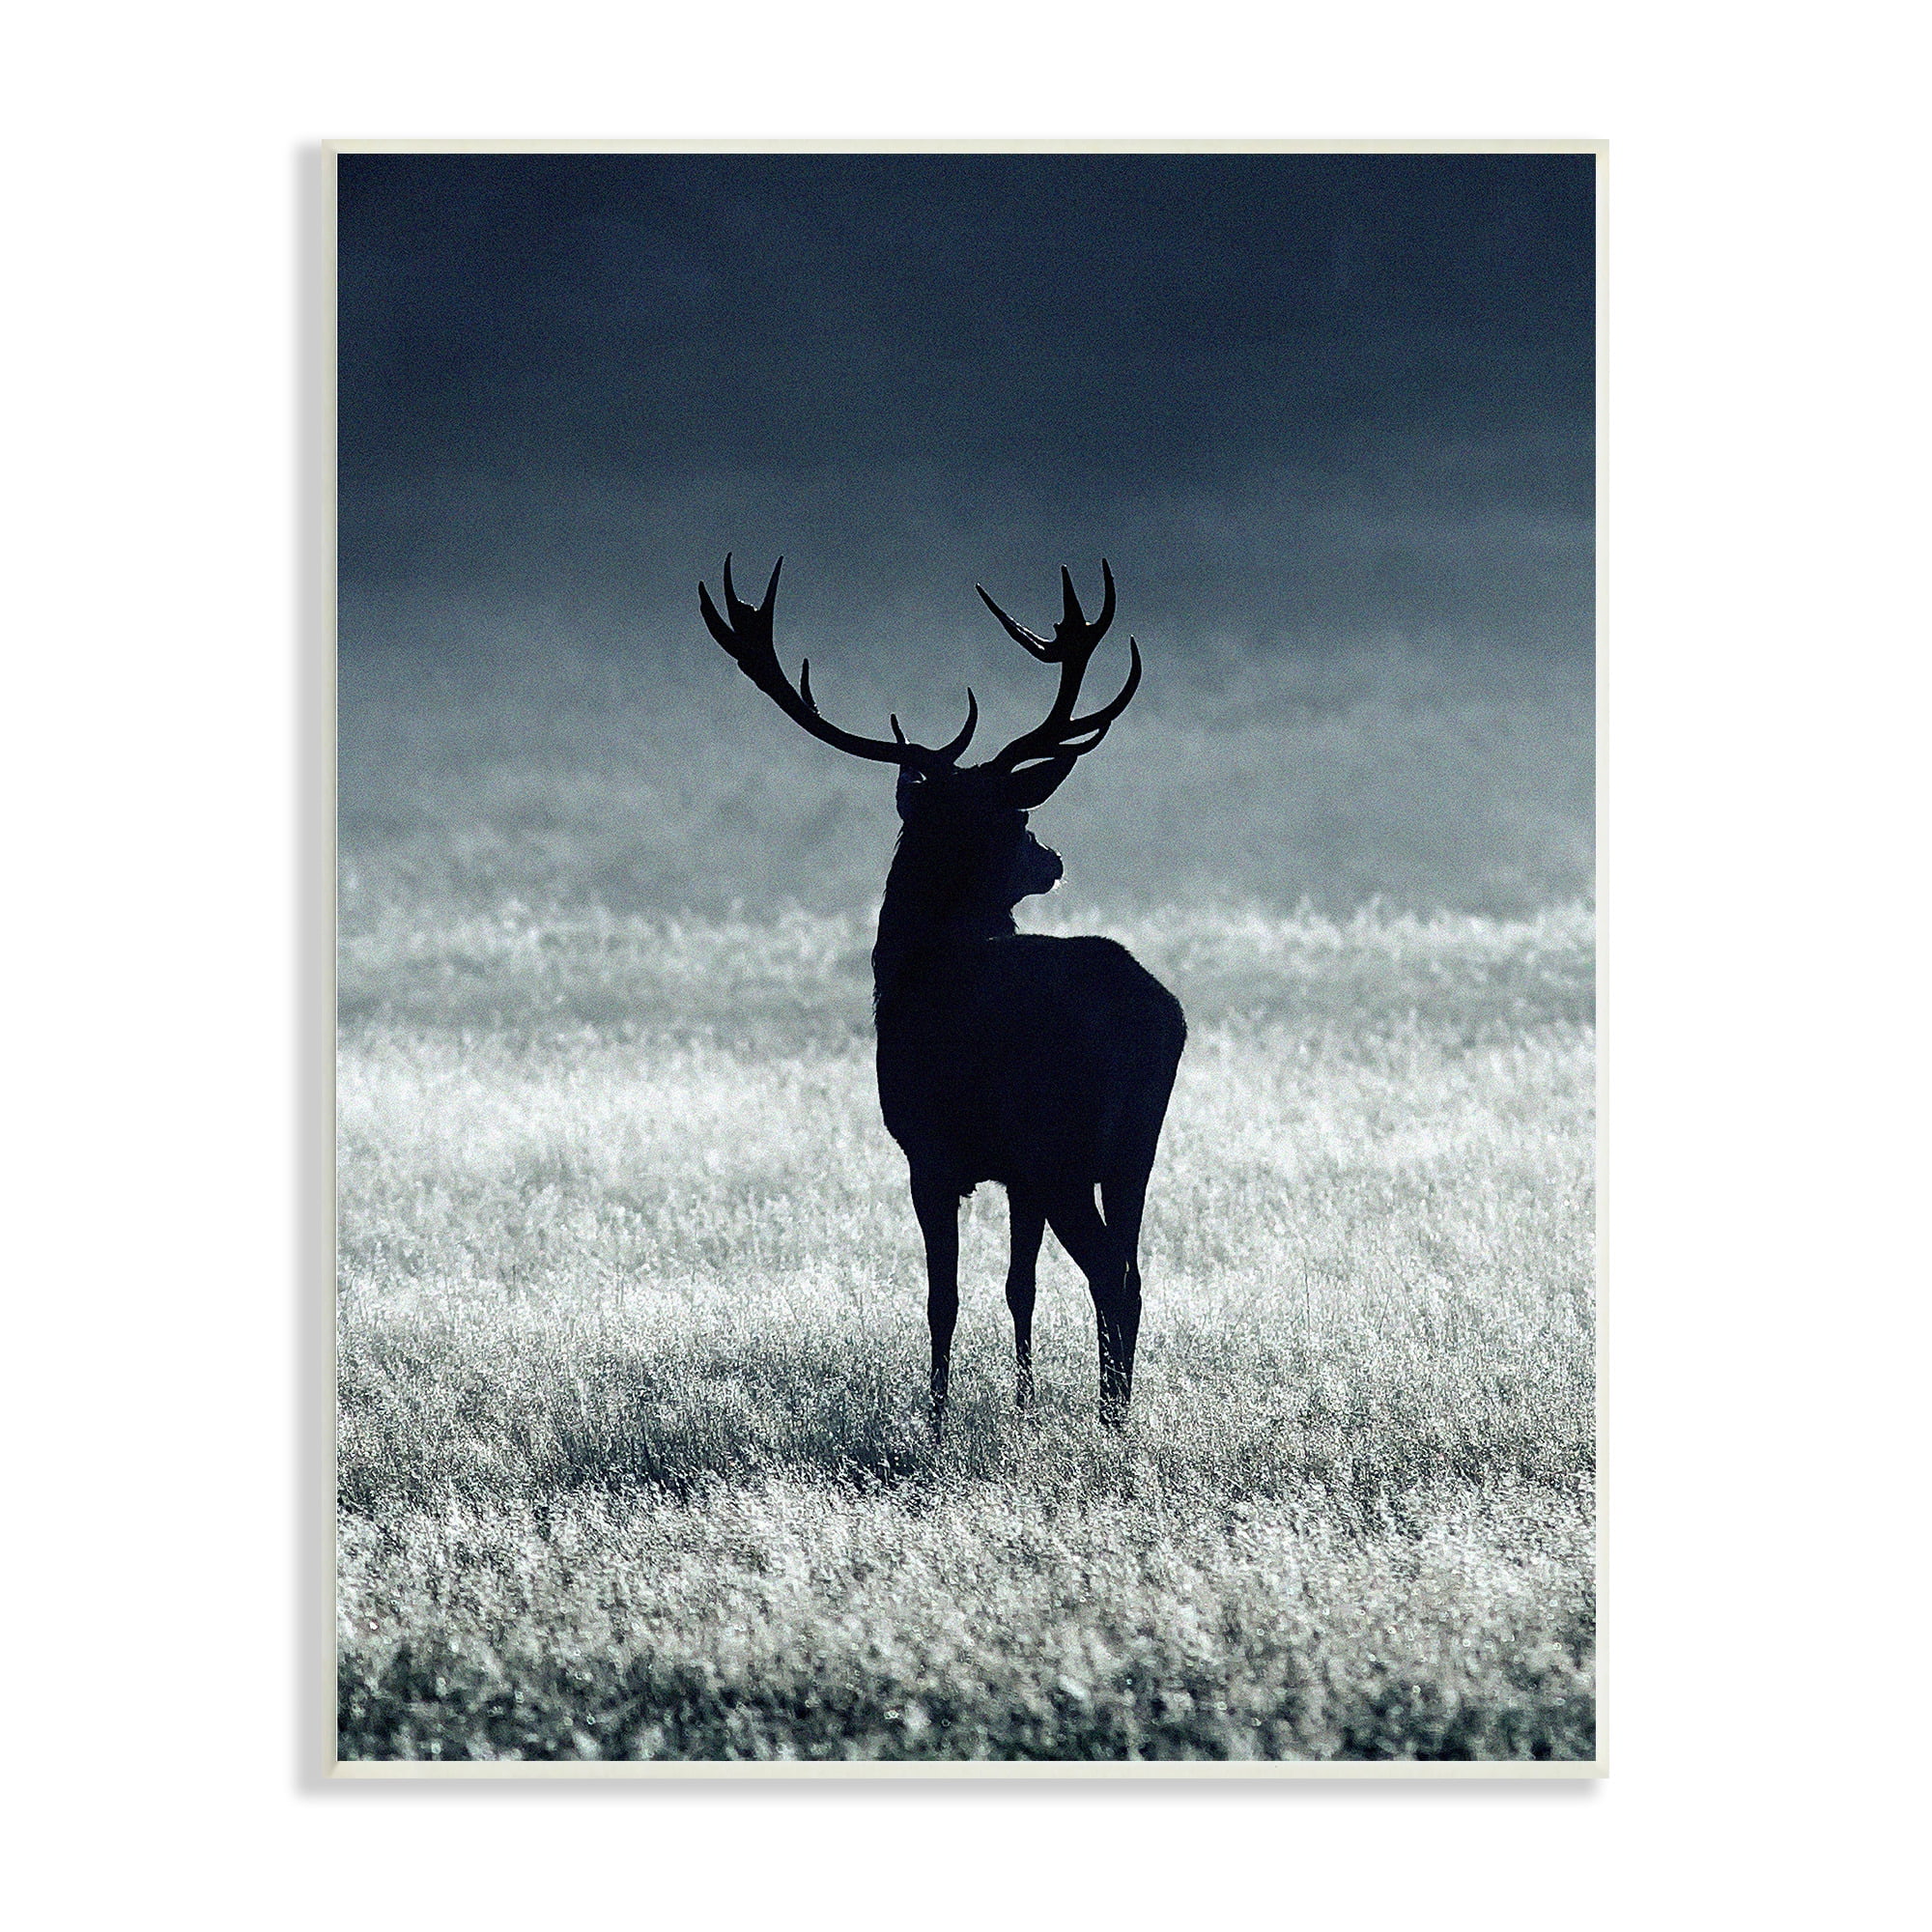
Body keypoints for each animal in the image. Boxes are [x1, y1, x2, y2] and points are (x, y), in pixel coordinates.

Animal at [700, 555, 1186, 1429]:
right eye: (1019, 819)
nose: (1052, 858)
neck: (909, 968)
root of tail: (1155, 1016)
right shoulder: (1015, 1172)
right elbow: (1019, 1287)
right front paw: (1022, 1405)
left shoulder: (929, 1151)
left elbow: (943, 1298)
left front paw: (933, 1420)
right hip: (1135, 1146)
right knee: (1132, 1271)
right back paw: (1117, 1412)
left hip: (1062, 1143)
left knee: (1109, 1274)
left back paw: (1111, 1421)